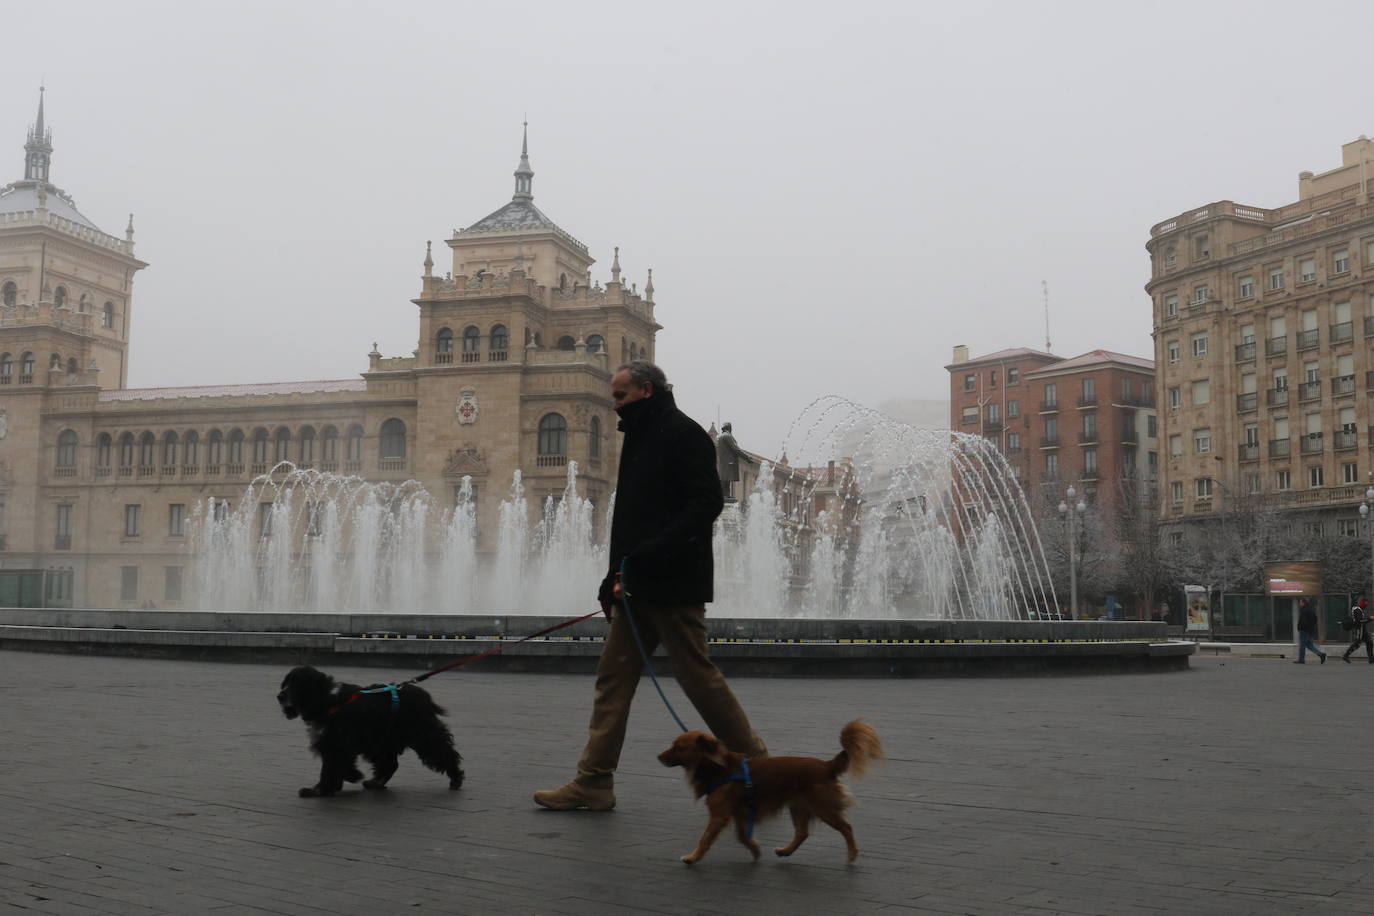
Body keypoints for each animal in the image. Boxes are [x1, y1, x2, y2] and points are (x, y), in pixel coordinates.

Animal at [276, 661, 464, 796]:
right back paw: (376, 782)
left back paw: (456, 778)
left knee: (445, 753)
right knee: (390, 764)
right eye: (285, 683)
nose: (279, 696)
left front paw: (319, 789)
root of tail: (425, 698)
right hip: (384, 741)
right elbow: (336, 765)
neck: (327, 700)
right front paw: (341, 781)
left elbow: (330, 767)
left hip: (422, 734)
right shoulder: (335, 743)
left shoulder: (336, 743)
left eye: (297, 684)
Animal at [659, 719, 884, 862]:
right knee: (802, 833)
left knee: (847, 828)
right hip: (798, 806)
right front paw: (755, 850)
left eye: (678, 747)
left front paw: (693, 857)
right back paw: (785, 851)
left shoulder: (719, 815)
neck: (718, 767)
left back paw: (852, 855)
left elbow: (704, 839)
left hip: (823, 808)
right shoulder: (739, 813)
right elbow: (742, 837)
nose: (658, 757)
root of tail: (827, 766)